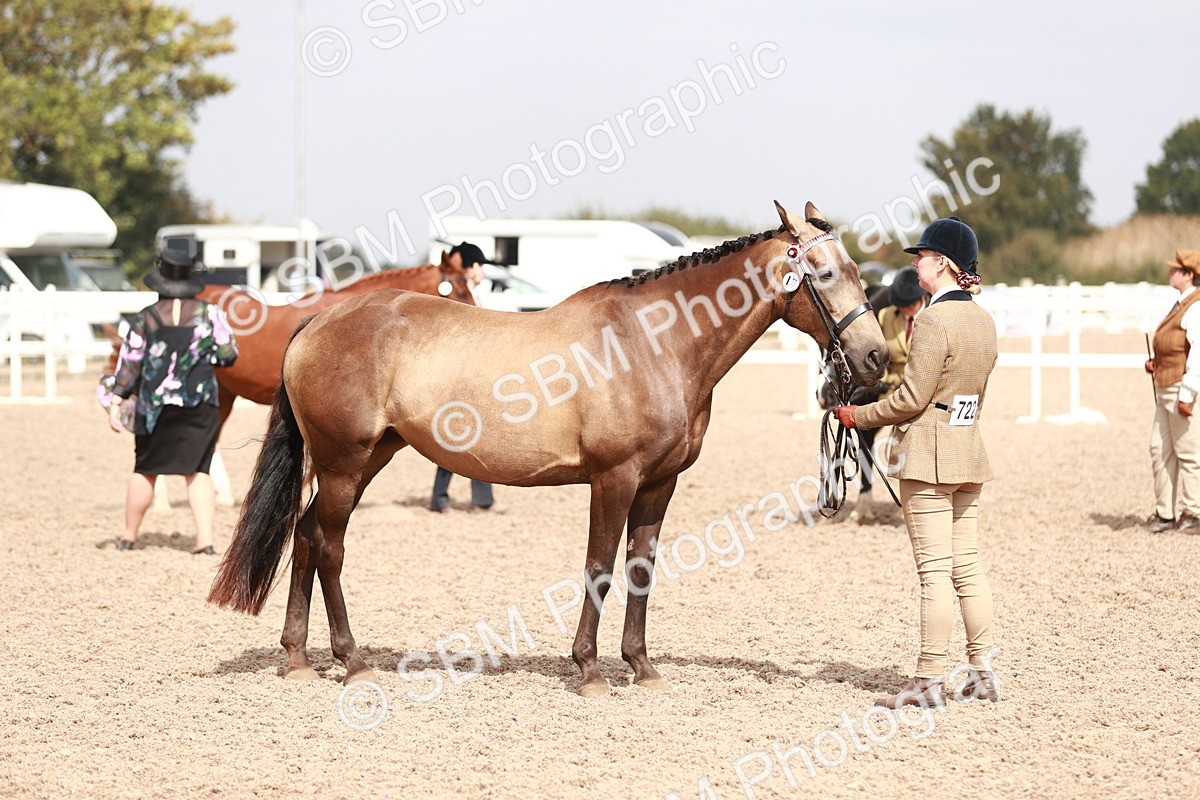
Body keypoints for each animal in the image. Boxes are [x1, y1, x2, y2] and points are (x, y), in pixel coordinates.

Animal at [208, 201, 889, 697]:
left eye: (859, 271)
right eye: (825, 273)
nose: (876, 358)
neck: (654, 343)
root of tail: (318, 321)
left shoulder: (658, 483)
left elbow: (641, 570)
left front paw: (641, 668)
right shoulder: (614, 478)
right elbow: (600, 568)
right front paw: (587, 671)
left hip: (369, 457)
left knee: (305, 535)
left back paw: (298, 657)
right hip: (345, 463)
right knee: (328, 546)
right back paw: (350, 660)